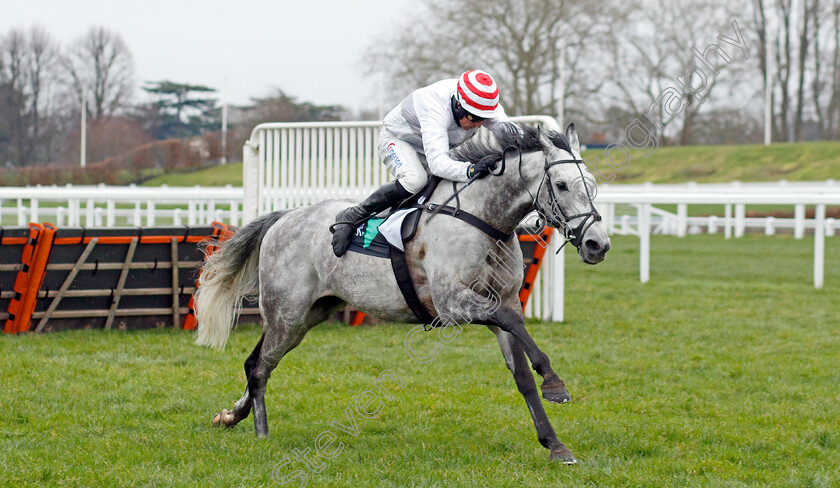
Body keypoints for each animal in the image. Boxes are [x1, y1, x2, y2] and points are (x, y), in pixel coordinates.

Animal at [197, 121, 612, 462]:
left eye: (591, 185)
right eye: (561, 185)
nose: (597, 244)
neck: (483, 219)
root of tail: (284, 217)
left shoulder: (501, 301)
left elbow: (521, 373)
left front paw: (554, 443)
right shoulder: (453, 303)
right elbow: (514, 325)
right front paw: (554, 383)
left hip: (309, 315)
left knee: (259, 361)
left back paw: (230, 416)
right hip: (287, 312)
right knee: (259, 366)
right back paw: (261, 432)